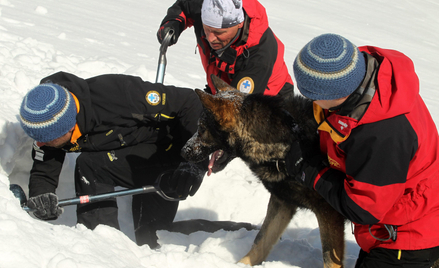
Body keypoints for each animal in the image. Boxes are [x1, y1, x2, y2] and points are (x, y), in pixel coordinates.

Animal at [182, 76, 348, 268]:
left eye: (201, 128)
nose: (183, 151)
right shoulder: (282, 201)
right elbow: (261, 240)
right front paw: (242, 264)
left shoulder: (328, 212)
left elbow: (330, 260)